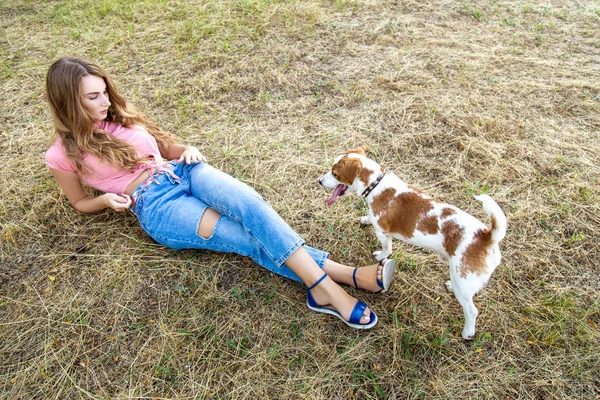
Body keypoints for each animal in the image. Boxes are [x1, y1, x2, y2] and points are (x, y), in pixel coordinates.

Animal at [318, 145, 506, 340]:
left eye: (335, 173)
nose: (319, 181)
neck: (375, 184)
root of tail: (486, 236)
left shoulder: (383, 233)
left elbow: (386, 249)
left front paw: (381, 255)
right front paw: (365, 219)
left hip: (463, 279)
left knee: (471, 310)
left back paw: (467, 332)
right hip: (461, 278)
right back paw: (450, 287)